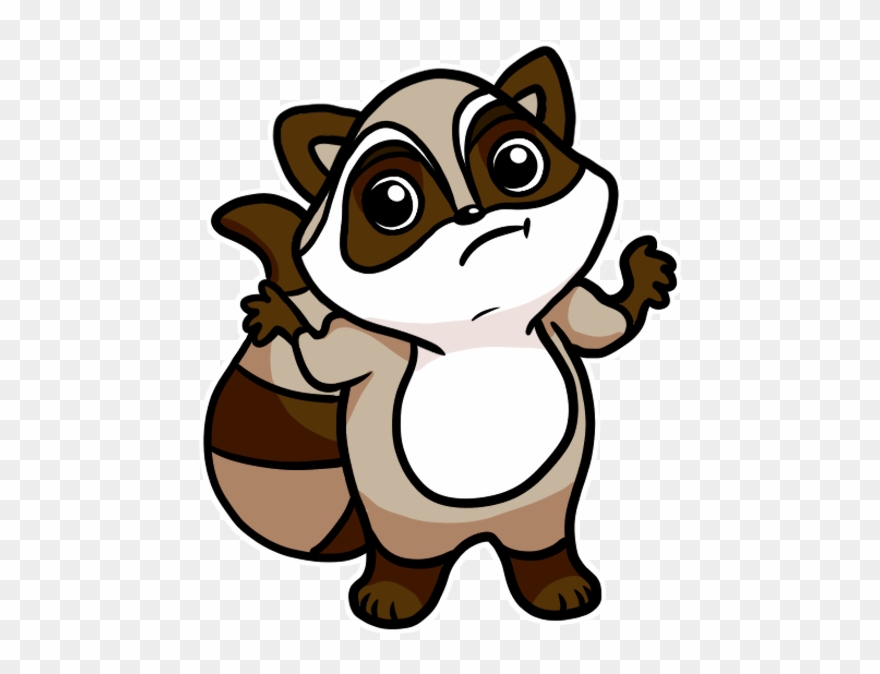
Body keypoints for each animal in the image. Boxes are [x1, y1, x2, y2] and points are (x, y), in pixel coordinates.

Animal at [204, 47, 677, 629]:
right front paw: (284, 315)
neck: (478, 333)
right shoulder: (371, 348)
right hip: (404, 521)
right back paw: (393, 595)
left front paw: (642, 278)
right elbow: (319, 361)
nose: (473, 213)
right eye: (391, 202)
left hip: (539, 508)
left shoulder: (559, 315)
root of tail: (475, 532)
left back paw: (557, 585)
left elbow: (605, 325)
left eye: (516, 163)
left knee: (539, 544)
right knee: (408, 556)